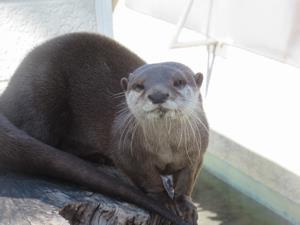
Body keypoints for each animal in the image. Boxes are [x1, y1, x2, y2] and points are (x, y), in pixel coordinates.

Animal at [0, 32, 209, 224]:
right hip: (40, 94)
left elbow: (187, 180)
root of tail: (8, 91)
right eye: (139, 86)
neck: (167, 148)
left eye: (179, 82)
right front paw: (163, 200)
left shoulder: (197, 152)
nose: (157, 95)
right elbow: (147, 176)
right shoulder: (126, 152)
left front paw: (185, 205)